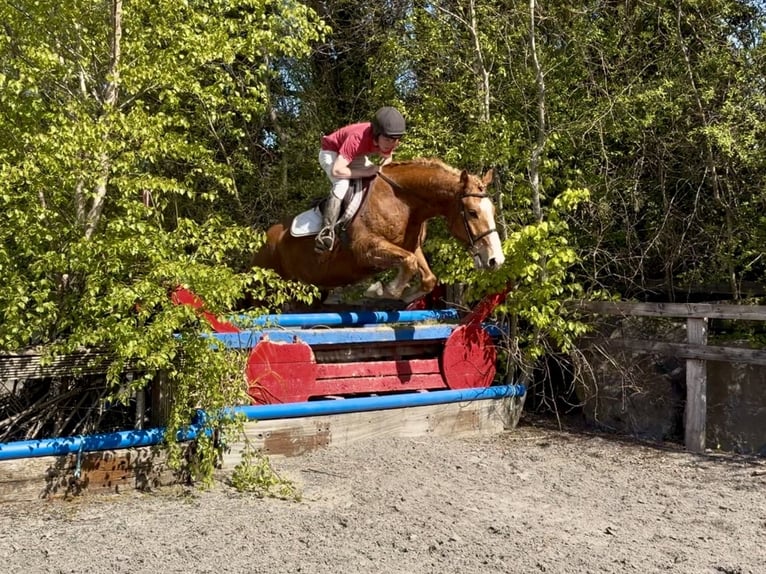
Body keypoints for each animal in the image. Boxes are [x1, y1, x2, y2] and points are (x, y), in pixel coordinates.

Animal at [249, 158, 505, 303]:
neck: (403, 201)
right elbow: (409, 263)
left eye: (492, 210)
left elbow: (426, 275)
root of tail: (262, 242)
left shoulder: (411, 247)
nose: (496, 260)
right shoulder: (366, 250)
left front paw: (406, 295)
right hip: (264, 290)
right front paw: (382, 291)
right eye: (472, 212)